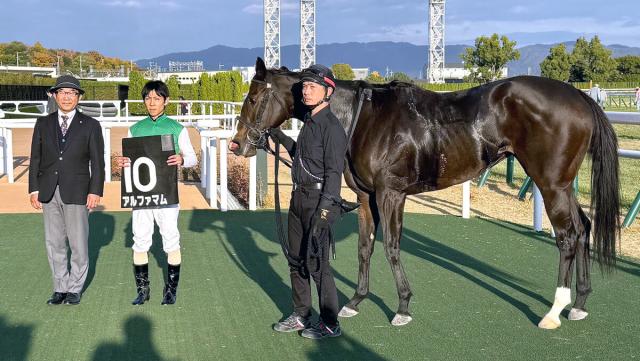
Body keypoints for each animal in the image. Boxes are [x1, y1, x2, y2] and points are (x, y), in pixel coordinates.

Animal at [231, 58, 620, 330]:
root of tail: (580, 97)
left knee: (567, 236)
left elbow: (391, 246)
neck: (362, 117)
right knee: (583, 228)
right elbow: (364, 247)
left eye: (254, 97)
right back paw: (579, 304)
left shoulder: (391, 194)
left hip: (550, 183)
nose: (238, 144)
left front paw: (402, 306)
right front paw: (355, 301)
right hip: (564, 185)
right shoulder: (365, 196)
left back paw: (553, 311)